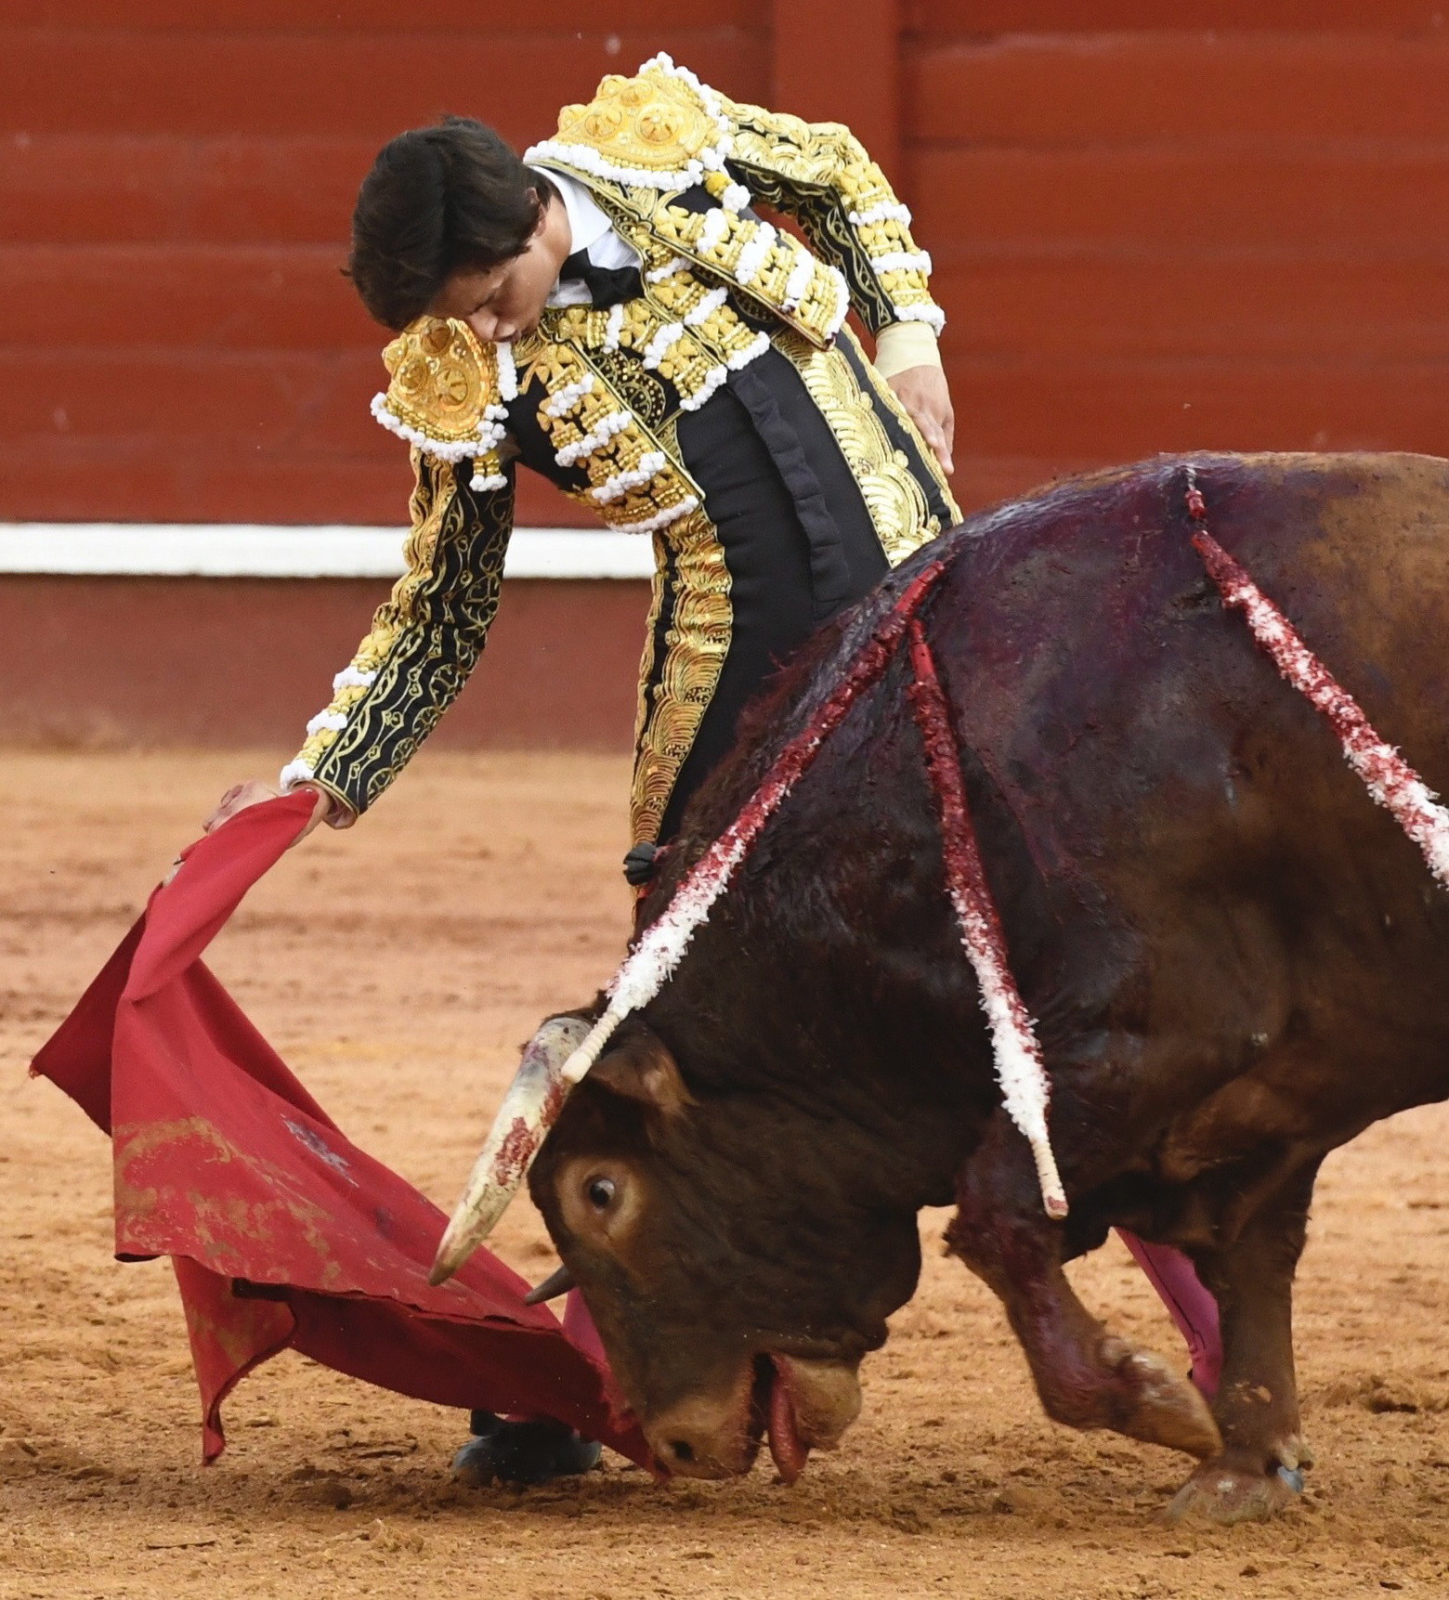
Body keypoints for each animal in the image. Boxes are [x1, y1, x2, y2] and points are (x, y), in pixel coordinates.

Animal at [444, 457, 1449, 1516]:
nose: (672, 1442)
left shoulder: (1162, 1040)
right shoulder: (1268, 1093)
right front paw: (1241, 1467)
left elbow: (996, 1214)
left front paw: (1154, 1400)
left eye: (600, 1190)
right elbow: (1249, 1256)